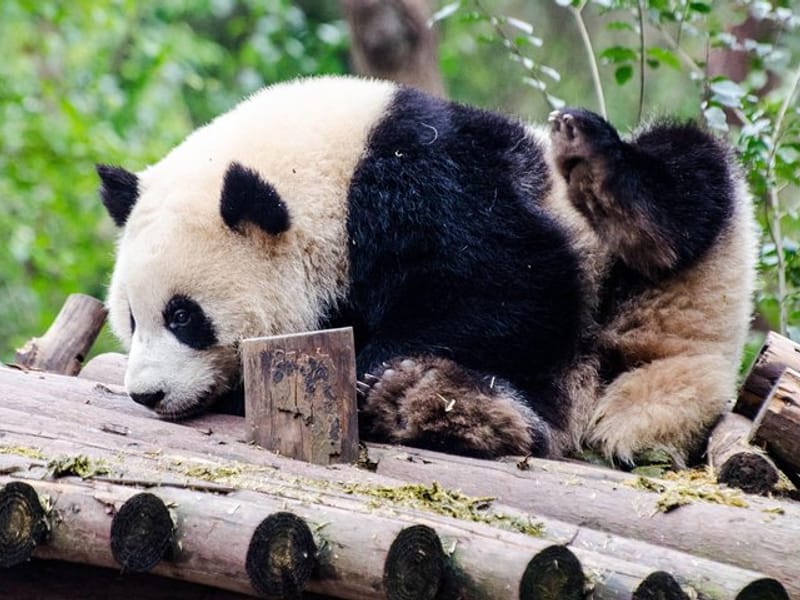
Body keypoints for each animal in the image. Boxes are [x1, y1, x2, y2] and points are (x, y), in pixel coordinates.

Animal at [98, 75, 756, 465]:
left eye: (184, 317)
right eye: (129, 320)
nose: (147, 394)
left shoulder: (426, 179)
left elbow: (514, 287)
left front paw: (374, 361)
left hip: (677, 261)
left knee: (688, 182)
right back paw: (435, 403)